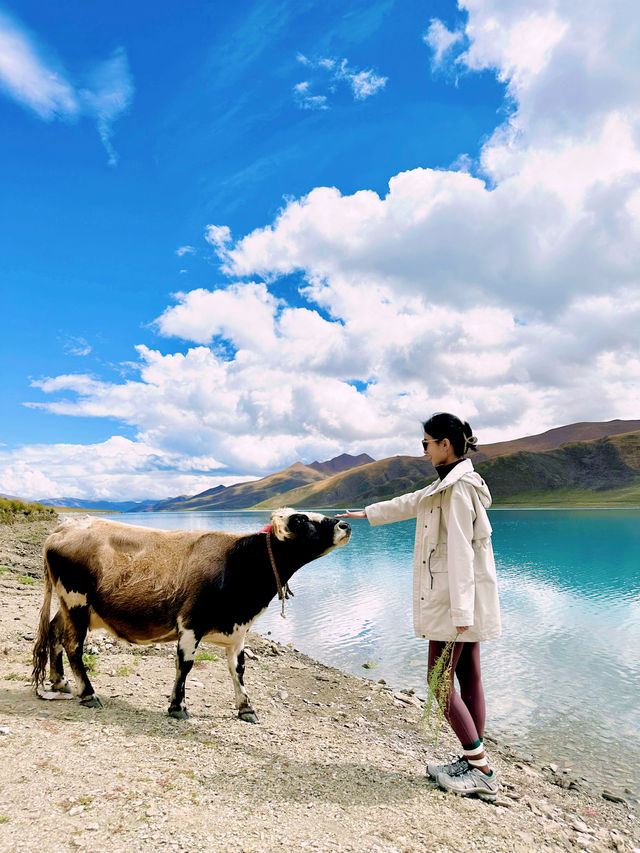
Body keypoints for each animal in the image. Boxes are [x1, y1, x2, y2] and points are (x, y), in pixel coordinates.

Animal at [32, 510, 352, 724]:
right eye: (301, 520)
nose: (345, 524)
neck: (238, 564)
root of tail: (63, 528)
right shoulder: (190, 624)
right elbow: (185, 666)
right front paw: (177, 707)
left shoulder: (237, 632)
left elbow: (238, 669)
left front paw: (246, 708)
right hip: (77, 602)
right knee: (73, 646)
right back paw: (88, 693)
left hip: (69, 606)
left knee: (55, 633)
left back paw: (60, 682)